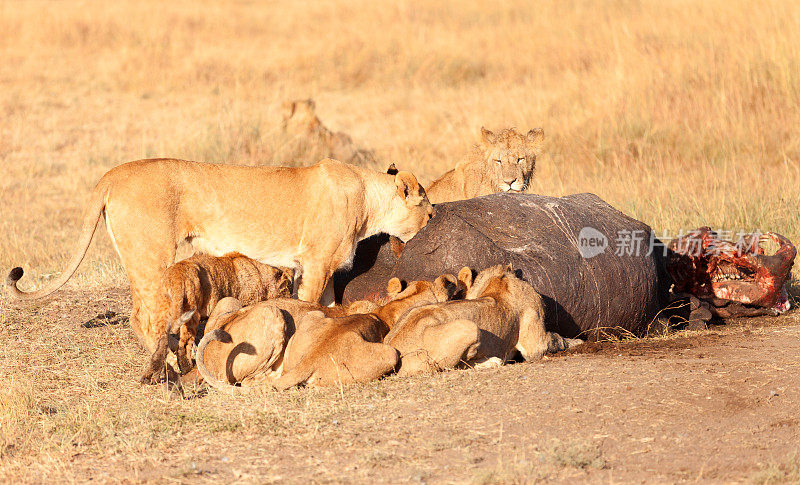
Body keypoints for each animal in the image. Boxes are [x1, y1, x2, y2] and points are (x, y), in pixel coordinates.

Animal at [139, 251, 292, 384]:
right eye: (286, 290)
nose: (292, 298)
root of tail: (175, 277)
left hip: (163, 312)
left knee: (160, 344)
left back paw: (149, 377)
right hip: (192, 313)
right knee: (184, 345)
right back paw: (186, 368)